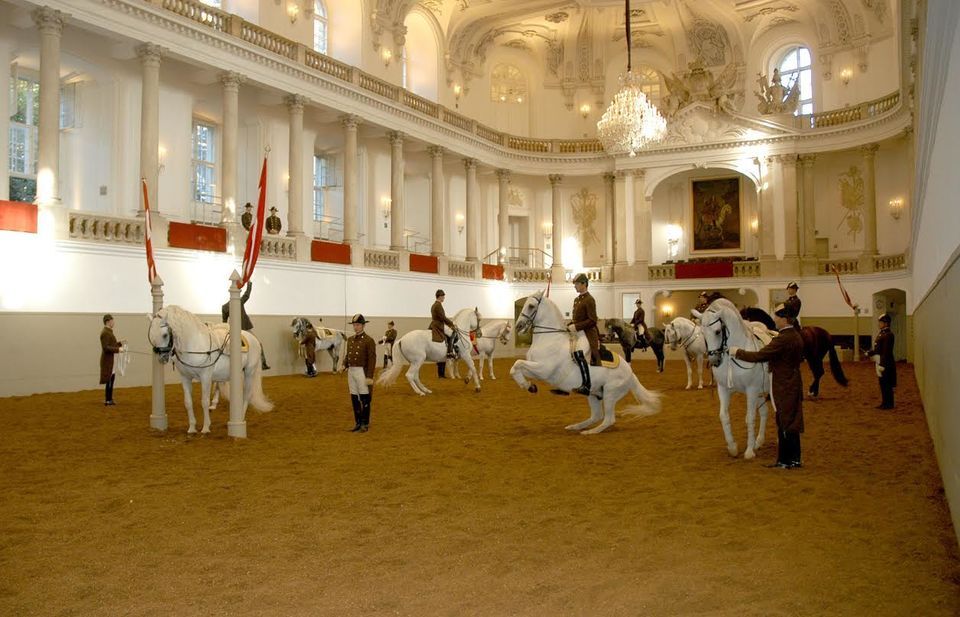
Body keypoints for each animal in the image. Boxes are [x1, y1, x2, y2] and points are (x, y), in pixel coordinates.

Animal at [148, 304, 274, 434]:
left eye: (165, 335)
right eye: (151, 335)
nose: (162, 358)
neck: (194, 345)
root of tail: (254, 339)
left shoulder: (206, 377)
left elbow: (204, 401)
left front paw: (205, 428)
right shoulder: (185, 378)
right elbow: (188, 402)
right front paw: (192, 428)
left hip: (249, 372)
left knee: (247, 395)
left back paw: (241, 418)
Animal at [510, 288, 660, 434]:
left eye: (531, 306)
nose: (518, 326)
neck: (550, 339)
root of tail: (631, 374)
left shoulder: (543, 370)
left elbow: (517, 364)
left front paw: (527, 385)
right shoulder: (536, 369)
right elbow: (515, 368)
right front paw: (529, 385)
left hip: (610, 393)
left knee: (608, 419)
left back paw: (589, 432)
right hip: (594, 394)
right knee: (596, 416)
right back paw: (574, 427)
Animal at [692, 298, 768, 458]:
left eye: (717, 331)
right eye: (702, 333)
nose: (714, 361)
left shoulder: (751, 390)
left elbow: (750, 417)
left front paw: (749, 451)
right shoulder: (724, 389)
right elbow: (724, 416)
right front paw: (733, 447)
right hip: (760, 393)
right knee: (764, 412)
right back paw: (759, 442)